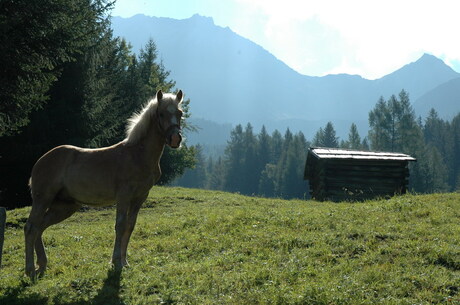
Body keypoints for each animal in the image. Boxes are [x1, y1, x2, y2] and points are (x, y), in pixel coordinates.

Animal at [23, 89, 185, 276]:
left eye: (179, 113)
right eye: (161, 114)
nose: (175, 139)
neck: (137, 155)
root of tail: (39, 162)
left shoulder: (140, 197)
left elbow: (130, 226)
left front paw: (125, 261)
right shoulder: (124, 196)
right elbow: (120, 225)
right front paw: (116, 262)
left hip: (65, 206)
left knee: (40, 227)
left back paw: (41, 265)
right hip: (43, 199)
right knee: (30, 228)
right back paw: (30, 269)